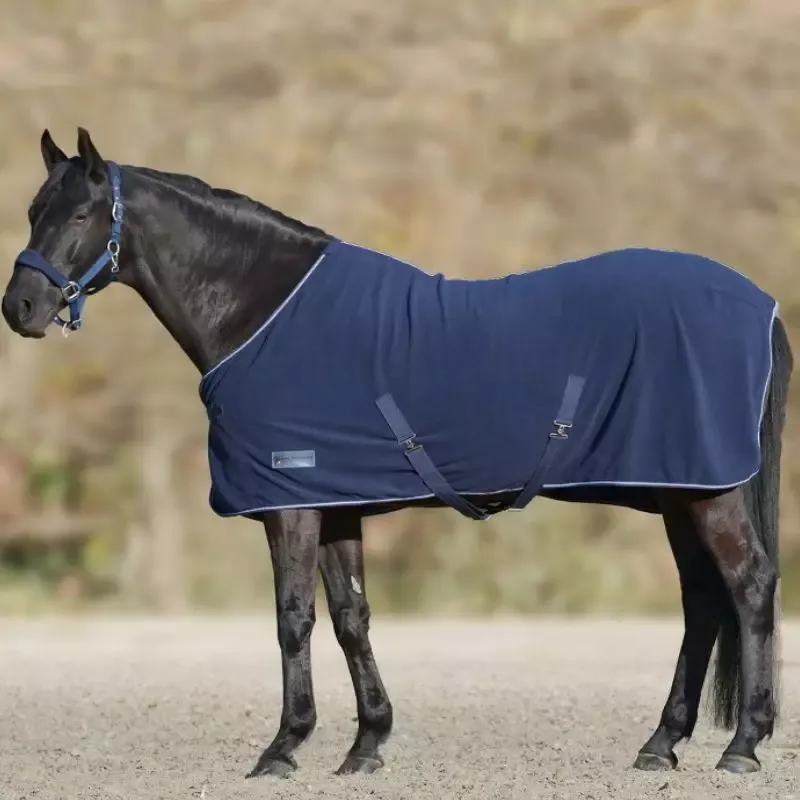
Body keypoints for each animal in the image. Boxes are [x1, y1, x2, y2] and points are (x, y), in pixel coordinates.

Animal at [1, 128, 793, 778]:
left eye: (80, 216)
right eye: (34, 210)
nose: (20, 309)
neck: (262, 312)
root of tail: (760, 304)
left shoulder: (290, 505)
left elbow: (292, 618)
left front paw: (283, 747)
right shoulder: (334, 503)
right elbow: (351, 618)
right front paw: (365, 745)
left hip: (708, 493)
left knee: (748, 586)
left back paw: (743, 744)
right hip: (679, 491)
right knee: (703, 599)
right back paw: (662, 744)